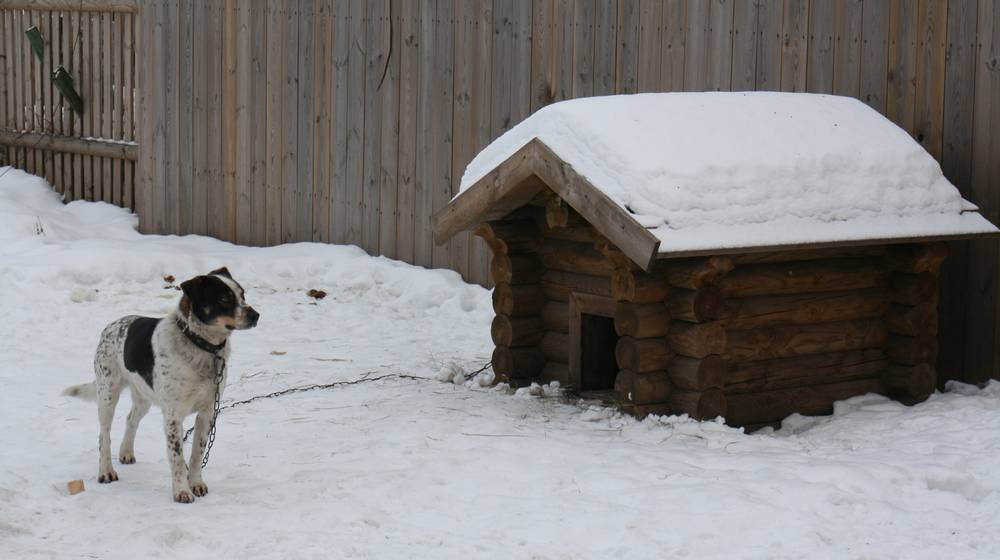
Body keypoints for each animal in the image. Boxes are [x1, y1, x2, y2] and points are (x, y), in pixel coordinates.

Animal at [63, 266, 258, 504]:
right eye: (224, 299)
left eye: (242, 295)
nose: (256, 315)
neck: (198, 344)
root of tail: (110, 326)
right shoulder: (173, 415)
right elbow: (177, 458)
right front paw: (182, 491)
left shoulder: (207, 413)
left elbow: (196, 454)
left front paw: (196, 484)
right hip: (107, 394)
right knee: (104, 435)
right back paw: (106, 471)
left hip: (144, 397)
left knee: (131, 419)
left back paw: (126, 452)